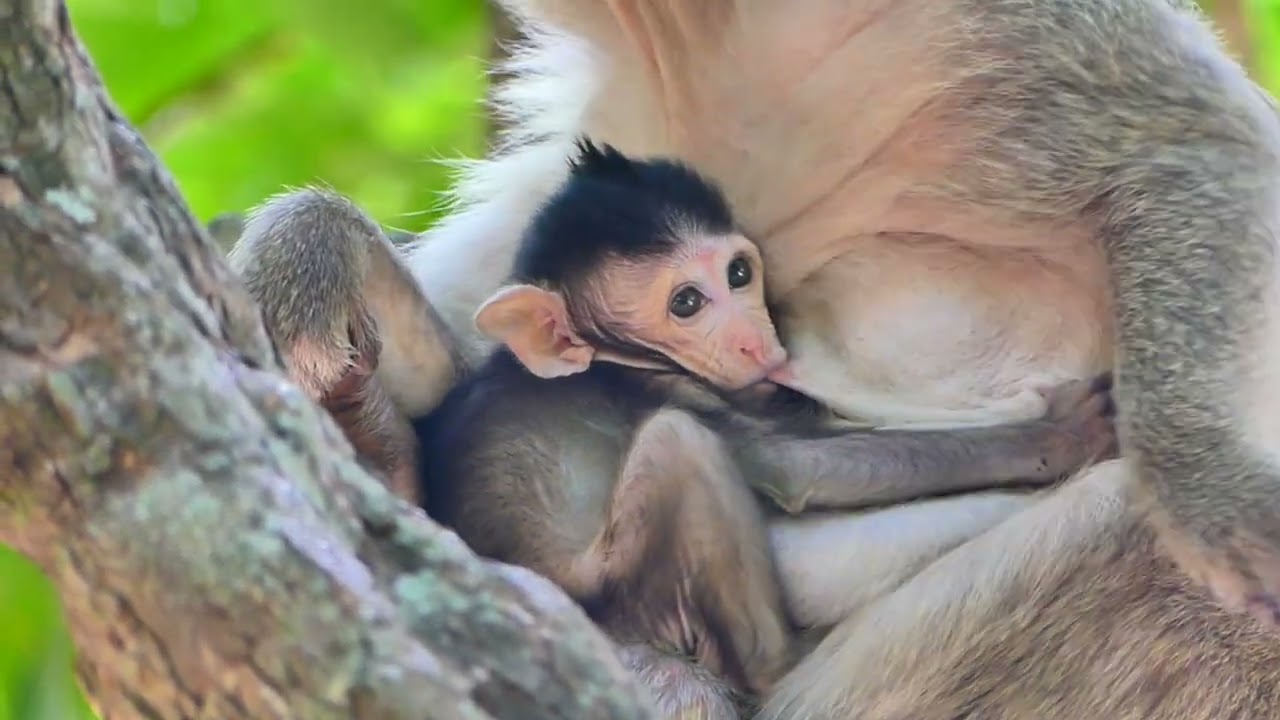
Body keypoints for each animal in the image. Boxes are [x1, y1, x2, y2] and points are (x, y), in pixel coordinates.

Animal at [413, 139, 1117, 718]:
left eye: (738, 274)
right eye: (687, 303)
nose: (757, 342)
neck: (612, 357)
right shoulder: (662, 388)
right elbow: (798, 469)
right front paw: (1061, 436)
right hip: (628, 595)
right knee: (679, 446)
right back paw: (780, 663)